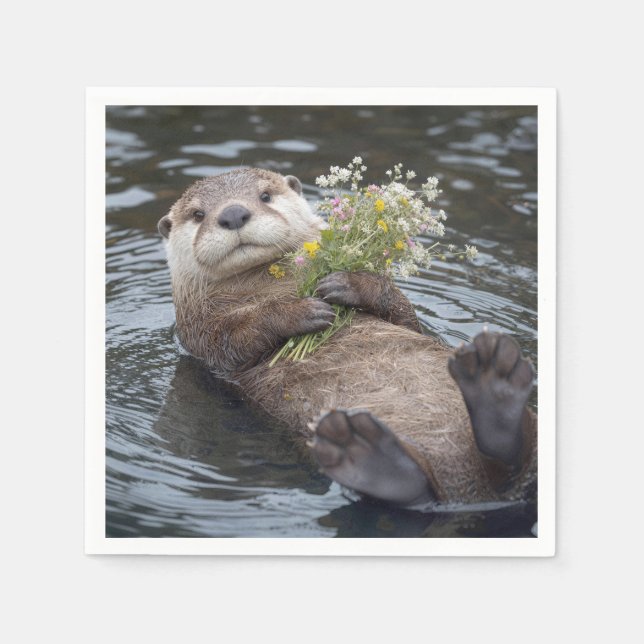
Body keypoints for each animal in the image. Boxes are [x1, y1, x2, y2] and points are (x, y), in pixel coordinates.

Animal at [158, 168, 537, 508]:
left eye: (265, 195)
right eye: (198, 214)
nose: (233, 213)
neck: (271, 282)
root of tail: (470, 494)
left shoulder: (409, 319)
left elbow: (404, 313)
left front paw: (345, 283)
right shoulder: (198, 331)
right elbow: (233, 340)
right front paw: (301, 311)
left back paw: (493, 383)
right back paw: (366, 451)